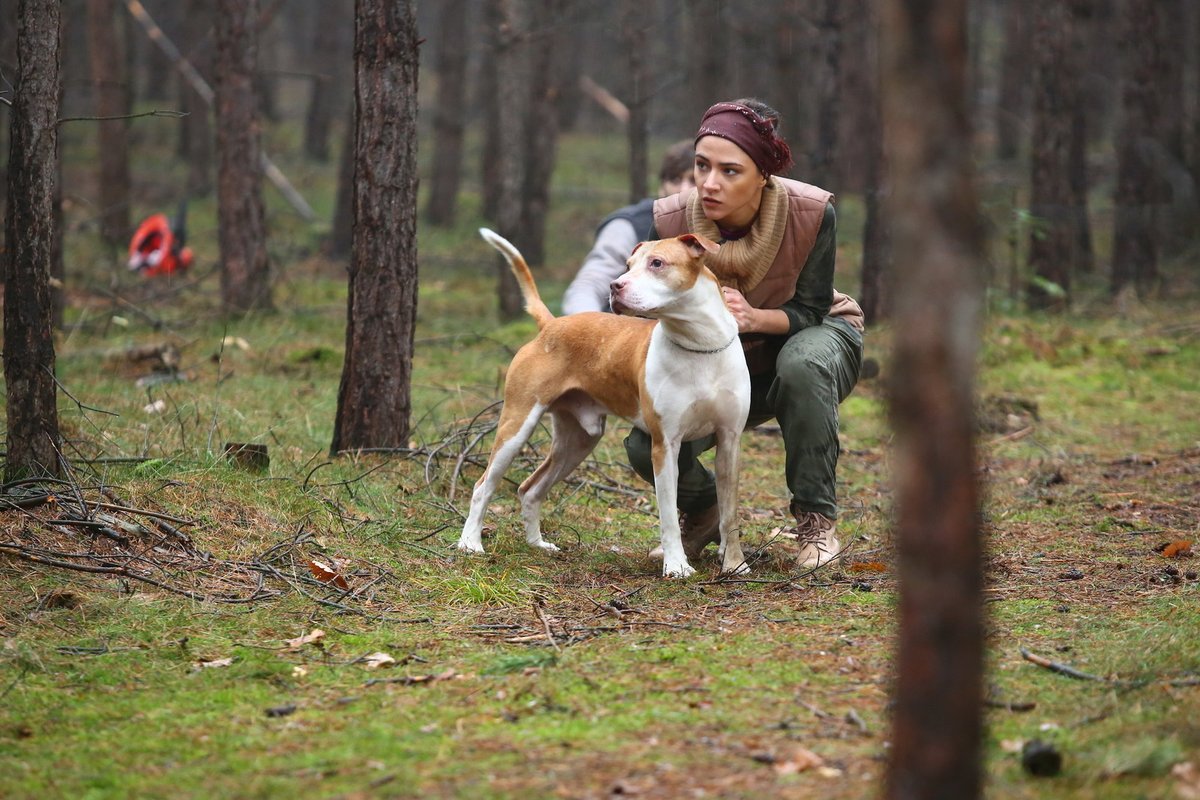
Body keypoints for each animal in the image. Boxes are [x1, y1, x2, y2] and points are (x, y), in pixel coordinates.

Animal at [458, 227, 748, 578]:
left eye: (657, 263)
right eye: (628, 265)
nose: (615, 285)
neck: (699, 344)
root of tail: (552, 324)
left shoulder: (730, 441)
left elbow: (729, 514)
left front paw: (735, 564)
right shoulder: (665, 446)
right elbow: (667, 516)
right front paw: (676, 566)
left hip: (578, 440)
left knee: (530, 488)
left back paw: (537, 545)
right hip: (517, 426)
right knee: (484, 485)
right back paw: (470, 543)